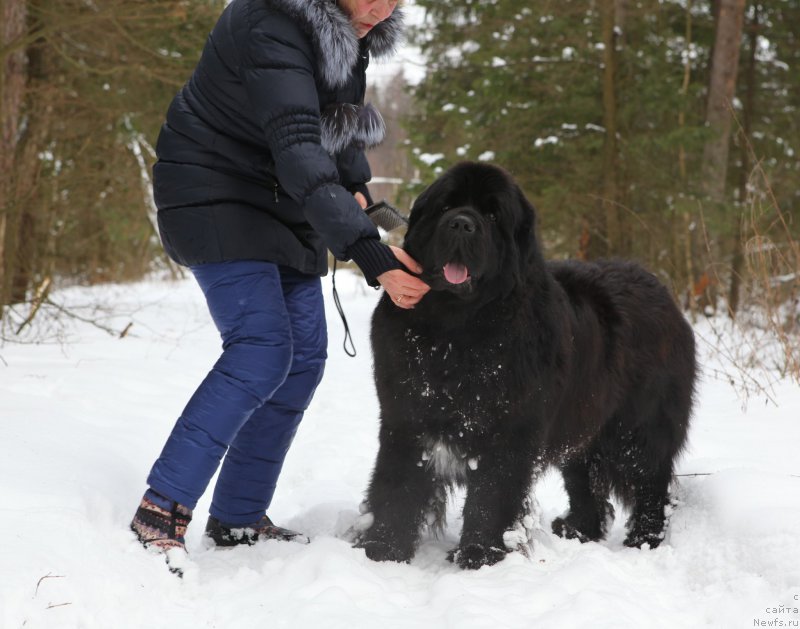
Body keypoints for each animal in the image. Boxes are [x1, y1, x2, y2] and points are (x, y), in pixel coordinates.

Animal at [356, 161, 692, 568]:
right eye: (446, 206)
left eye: (492, 215)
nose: (461, 224)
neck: (457, 330)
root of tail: (662, 290)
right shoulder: (406, 415)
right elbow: (397, 484)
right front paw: (383, 549)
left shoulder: (510, 431)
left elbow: (491, 497)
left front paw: (478, 555)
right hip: (583, 427)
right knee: (586, 484)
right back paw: (578, 530)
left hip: (638, 430)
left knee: (651, 485)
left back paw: (644, 541)